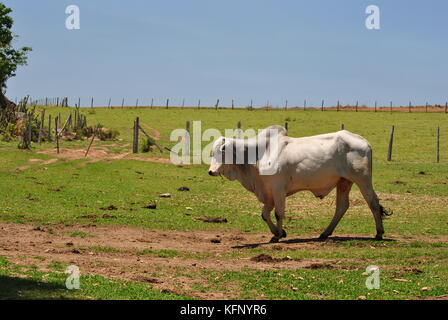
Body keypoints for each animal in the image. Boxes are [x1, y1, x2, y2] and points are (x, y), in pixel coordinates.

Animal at [208, 125, 390, 242]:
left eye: (222, 152)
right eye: (212, 152)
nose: (211, 171)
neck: (259, 154)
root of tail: (364, 141)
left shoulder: (278, 190)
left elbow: (278, 214)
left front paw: (278, 235)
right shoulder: (269, 193)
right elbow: (265, 214)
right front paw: (280, 232)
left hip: (362, 179)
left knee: (373, 202)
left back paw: (379, 233)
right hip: (344, 182)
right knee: (342, 206)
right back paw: (325, 233)